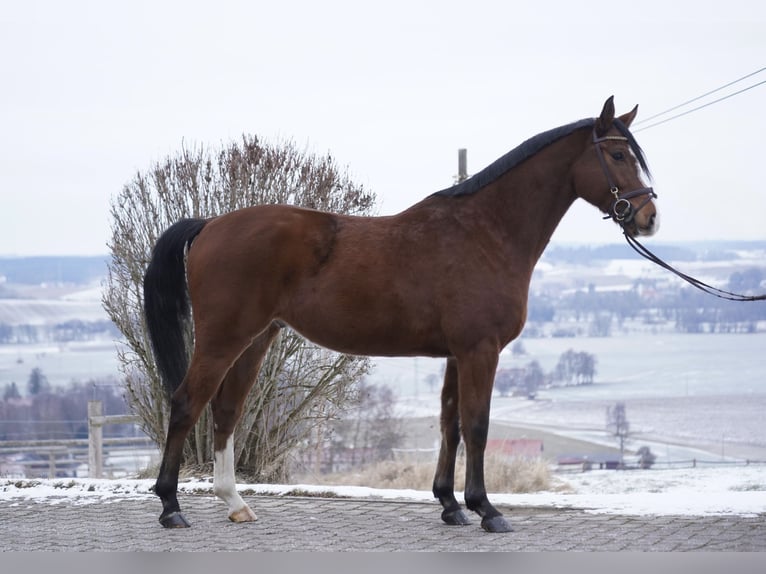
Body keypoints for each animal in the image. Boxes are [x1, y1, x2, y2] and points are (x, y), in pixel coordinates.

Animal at [143, 96, 658, 533]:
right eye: (617, 154)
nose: (648, 217)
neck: (485, 232)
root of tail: (211, 224)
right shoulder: (480, 350)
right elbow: (477, 424)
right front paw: (486, 509)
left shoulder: (456, 354)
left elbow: (450, 422)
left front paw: (450, 505)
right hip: (223, 338)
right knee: (186, 403)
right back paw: (170, 507)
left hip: (256, 338)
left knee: (226, 410)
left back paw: (235, 503)